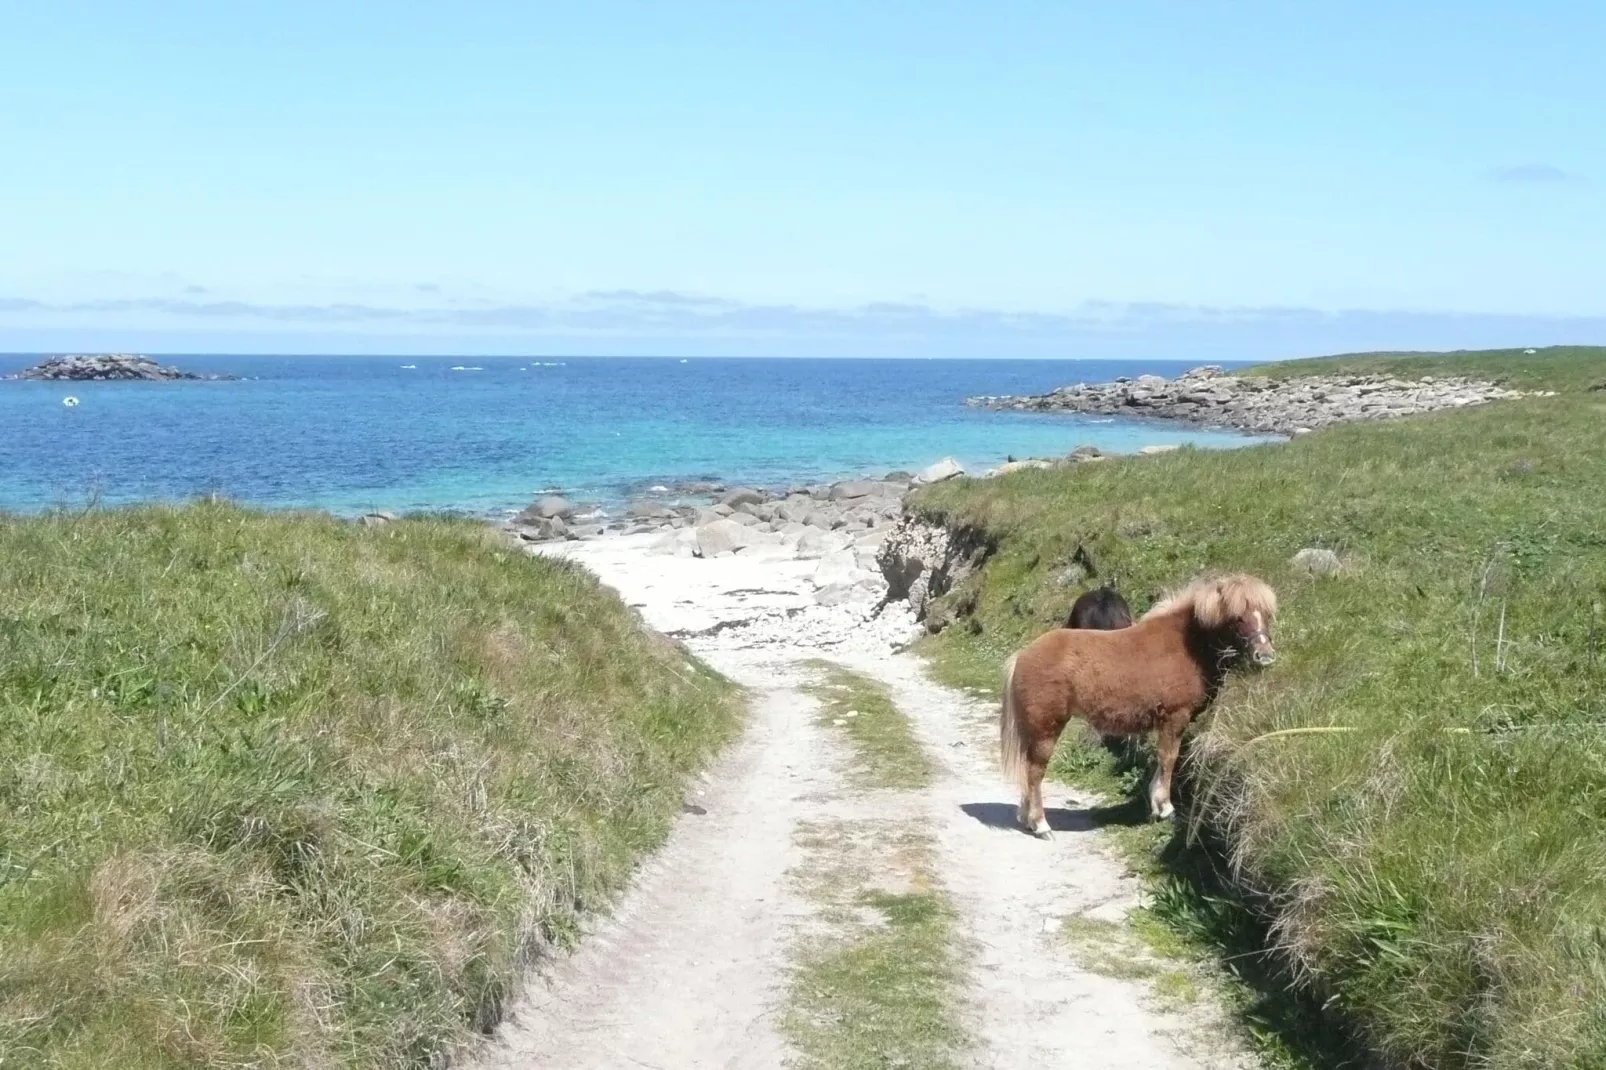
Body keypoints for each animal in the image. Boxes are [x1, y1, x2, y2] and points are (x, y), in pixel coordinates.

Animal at [995, 575, 1271, 835]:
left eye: (1267, 614)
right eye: (1237, 618)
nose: (1265, 655)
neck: (1186, 645)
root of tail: (1022, 655)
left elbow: (1162, 759)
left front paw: (1156, 804)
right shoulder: (1175, 718)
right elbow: (1168, 758)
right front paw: (1165, 806)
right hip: (1046, 729)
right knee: (1035, 772)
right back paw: (1040, 824)